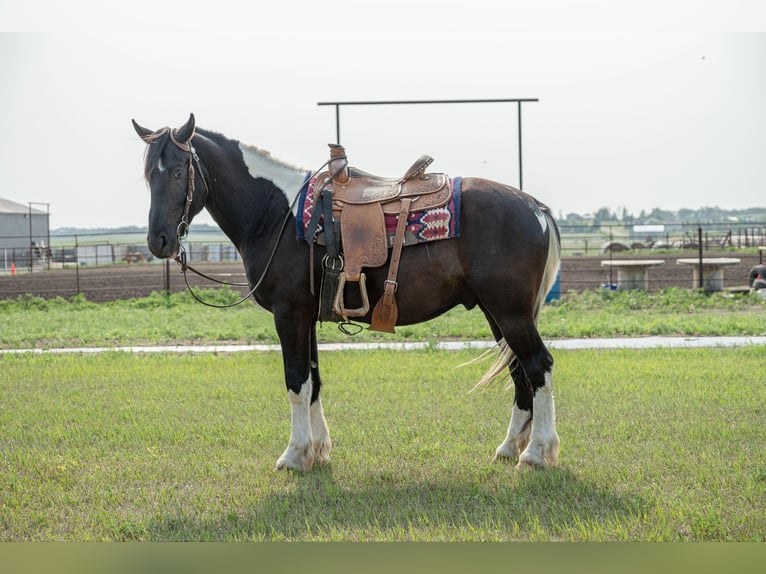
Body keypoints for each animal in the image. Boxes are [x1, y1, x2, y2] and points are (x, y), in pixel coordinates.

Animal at [132, 112, 564, 472]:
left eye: (176, 172)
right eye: (148, 175)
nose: (159, 241)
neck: (275, 213)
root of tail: (534, 206)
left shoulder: (289, 314)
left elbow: (296, 381)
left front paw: (294, 455)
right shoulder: (306, 317)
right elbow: (313, 381)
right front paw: (318, 450)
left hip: (510, 312)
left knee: (538, 366)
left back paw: (536, 453)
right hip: (497, 313)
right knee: (519, 372)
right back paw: (508, 447)